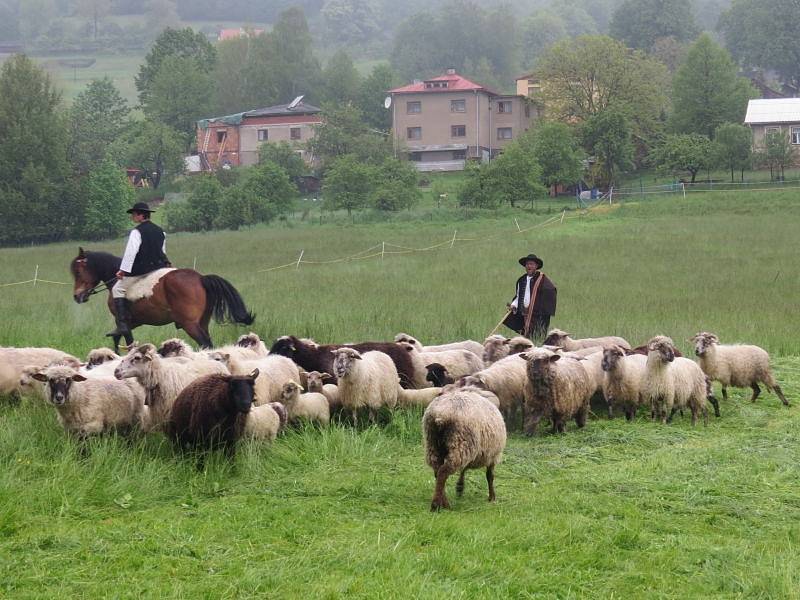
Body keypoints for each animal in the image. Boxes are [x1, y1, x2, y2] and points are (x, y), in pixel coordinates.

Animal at [72, 247, 255, 352]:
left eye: (78, 272)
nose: (77, 296)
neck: (115, 278)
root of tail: (200, 278)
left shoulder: (123, 321)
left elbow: (126, 339)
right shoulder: (134, 321)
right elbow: (117, 337)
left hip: (190, 324)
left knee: (205, 343)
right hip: (202, 322)